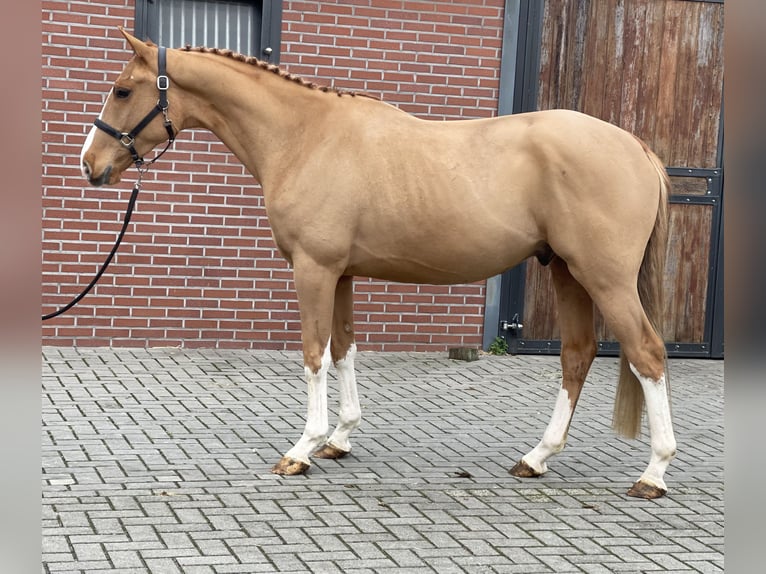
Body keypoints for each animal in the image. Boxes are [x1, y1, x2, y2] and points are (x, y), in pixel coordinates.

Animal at [79, 29, 680, 500]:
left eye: (122, 89)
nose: (90, 165)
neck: (304, 136)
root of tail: (637, 148)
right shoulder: (341, 274)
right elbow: (344, 350)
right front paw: (340, 440)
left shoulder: (313, 270)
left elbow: (314, 355)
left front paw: (302, 448)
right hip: (566, 272)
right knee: (576, 356)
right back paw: (536, 458)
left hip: (604, 279)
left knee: (647, 354)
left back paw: (653, 473)